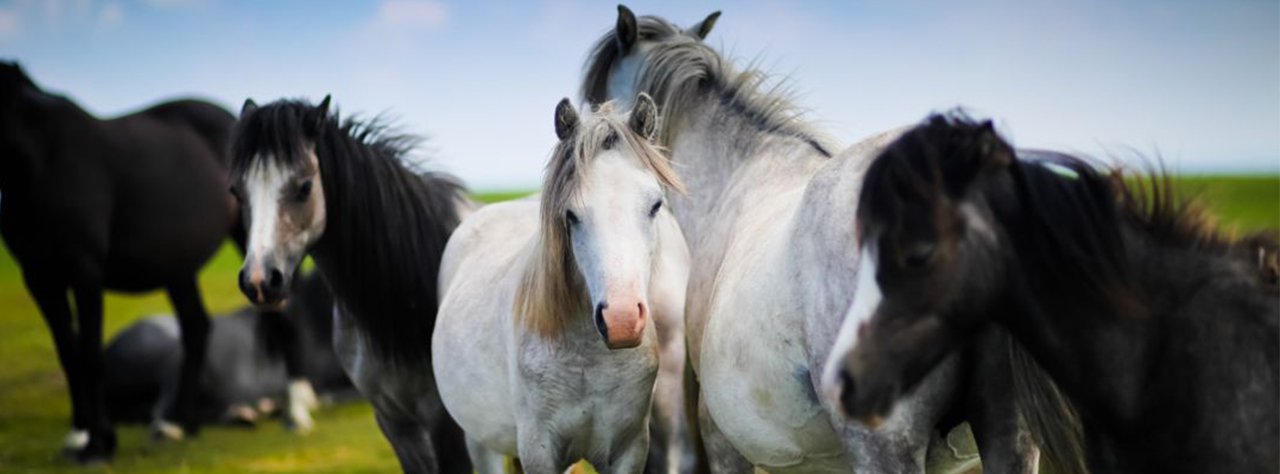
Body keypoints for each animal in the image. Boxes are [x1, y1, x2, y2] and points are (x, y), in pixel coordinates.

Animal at [0, 61, 237, 463]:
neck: (41, 159)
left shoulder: (85, 271)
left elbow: (91, 355)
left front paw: (99, 444)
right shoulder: (39, 277)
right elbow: (69, 355)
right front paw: (79, 436)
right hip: (177, 268)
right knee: (196, 327)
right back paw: (180, 424)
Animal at [433, 94, 689, 473]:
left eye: (655, 205)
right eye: (571, 214)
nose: (622, 320)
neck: (590, 360)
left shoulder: (628, 449)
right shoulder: (539, 450)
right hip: (480, 440)